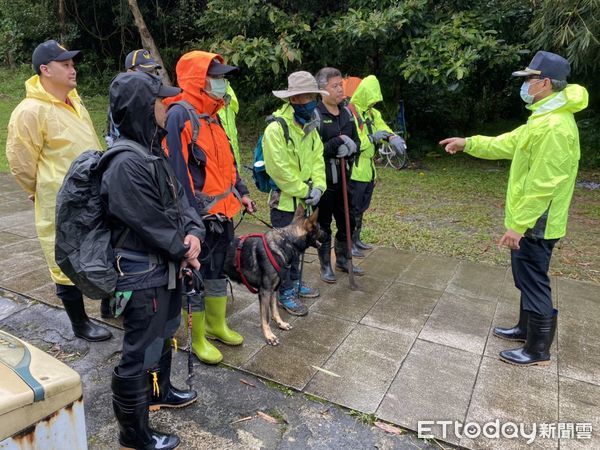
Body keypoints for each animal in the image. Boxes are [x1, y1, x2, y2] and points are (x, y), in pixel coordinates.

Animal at [224, 206, 326, 346]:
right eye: (319, 227)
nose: (327, 234)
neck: (286, 242)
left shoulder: (274, 289)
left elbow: (275, 310)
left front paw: (280, 324)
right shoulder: (265, 292)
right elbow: (266, 317)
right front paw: (269, 336)